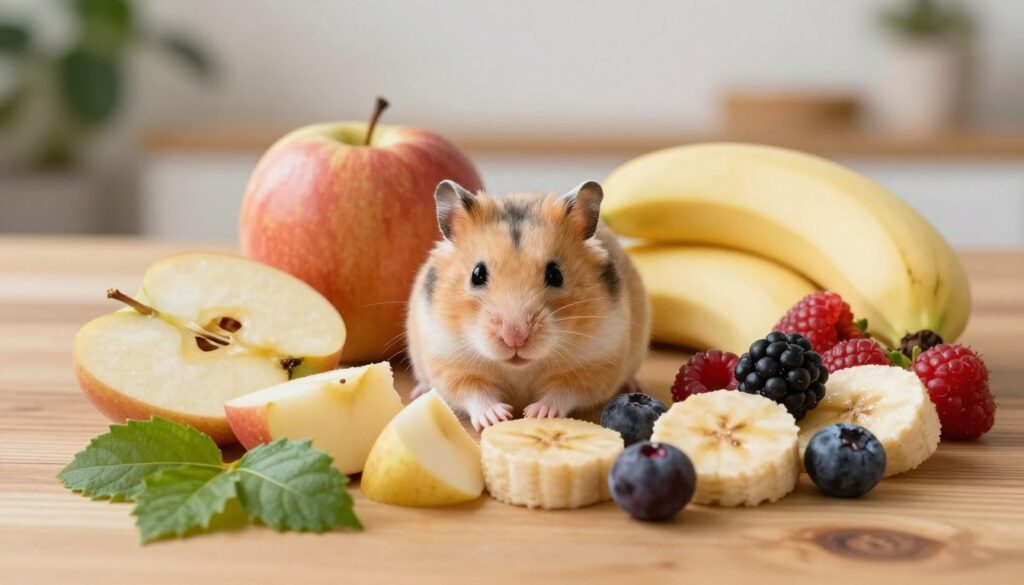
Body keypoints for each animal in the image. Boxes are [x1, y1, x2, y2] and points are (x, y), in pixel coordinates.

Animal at [405, 179, 651, 431]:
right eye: (477, 274)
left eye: (555, 274)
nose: (515, 337)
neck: (520, 368)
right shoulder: (450, 361)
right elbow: (474, 392)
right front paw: (497, 417)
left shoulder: (594, 363)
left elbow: (563, 391)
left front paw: (537, 413)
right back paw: (419, 391)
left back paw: (634, 386)